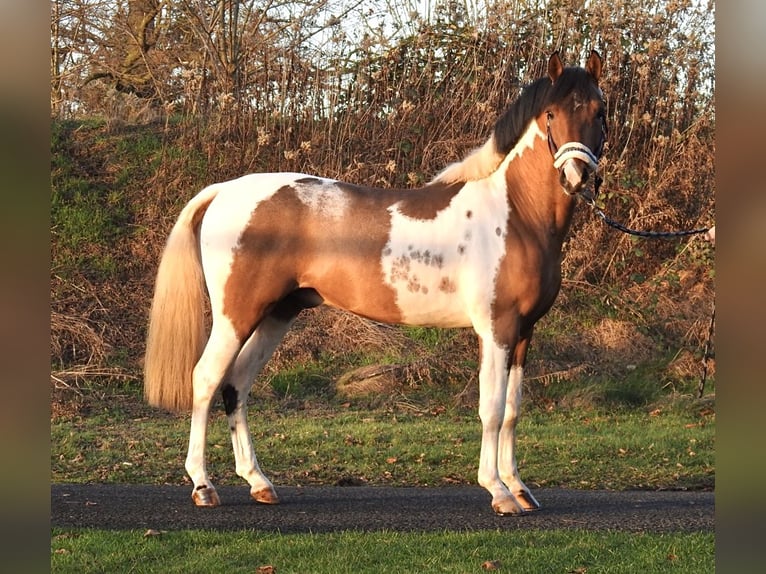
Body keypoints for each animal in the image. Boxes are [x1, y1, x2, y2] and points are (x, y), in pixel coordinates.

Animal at [144, 50, 607, 516]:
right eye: (551, 114)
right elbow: (491, 409)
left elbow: (512, 409)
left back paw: (259, 482)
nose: (576, 177)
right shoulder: (497, 328)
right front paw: (497, 491)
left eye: (600, 111)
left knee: (237, 385)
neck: (515, 216)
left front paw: (520, 488)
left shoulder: (524, 332)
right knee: (206, 379)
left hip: (277, 314)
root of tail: (223, 191)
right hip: (235, 317)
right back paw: (203, 485)